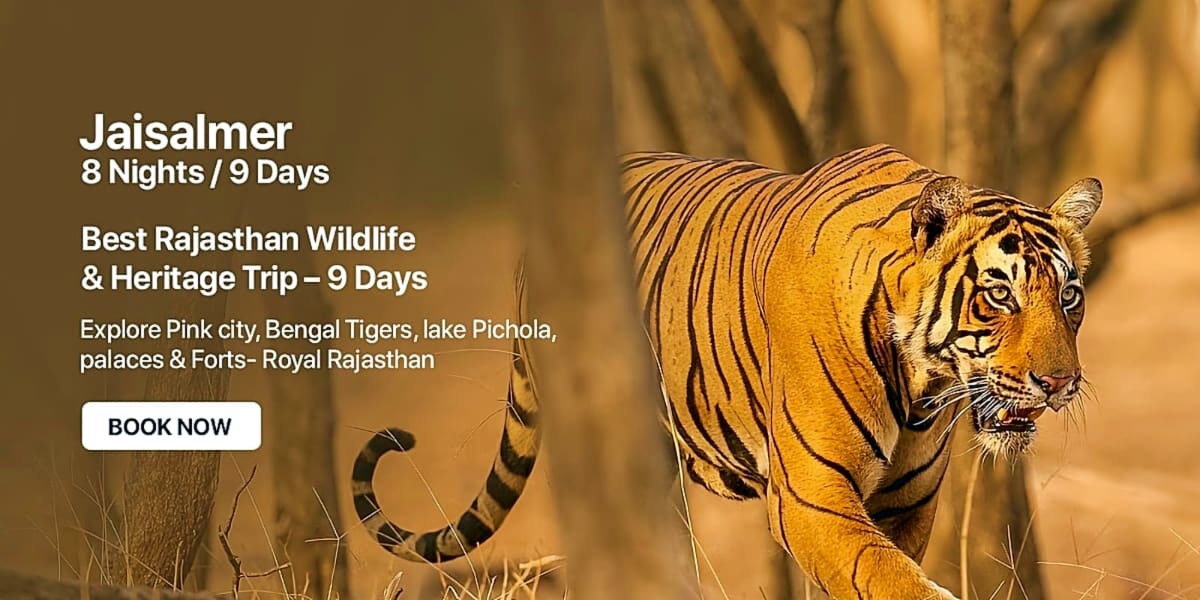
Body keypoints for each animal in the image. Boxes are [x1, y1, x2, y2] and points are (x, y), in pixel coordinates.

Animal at [351, 144, 1101, 599]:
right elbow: (891, 578)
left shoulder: (904, 504)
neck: (924, 388)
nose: (1060, 384)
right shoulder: (811, 497)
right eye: (999, 295)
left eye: (1069, 295)